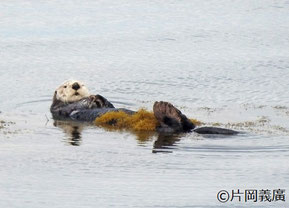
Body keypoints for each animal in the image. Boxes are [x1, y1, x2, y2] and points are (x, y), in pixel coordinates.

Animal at [50, 79, 238, 135]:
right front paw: (89, 100)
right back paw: (165, 109)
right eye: (66, 85)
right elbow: (69, 109)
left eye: (81, 83)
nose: (75, 85)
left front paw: (97, 98)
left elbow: (108, 103)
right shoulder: (59, 110)